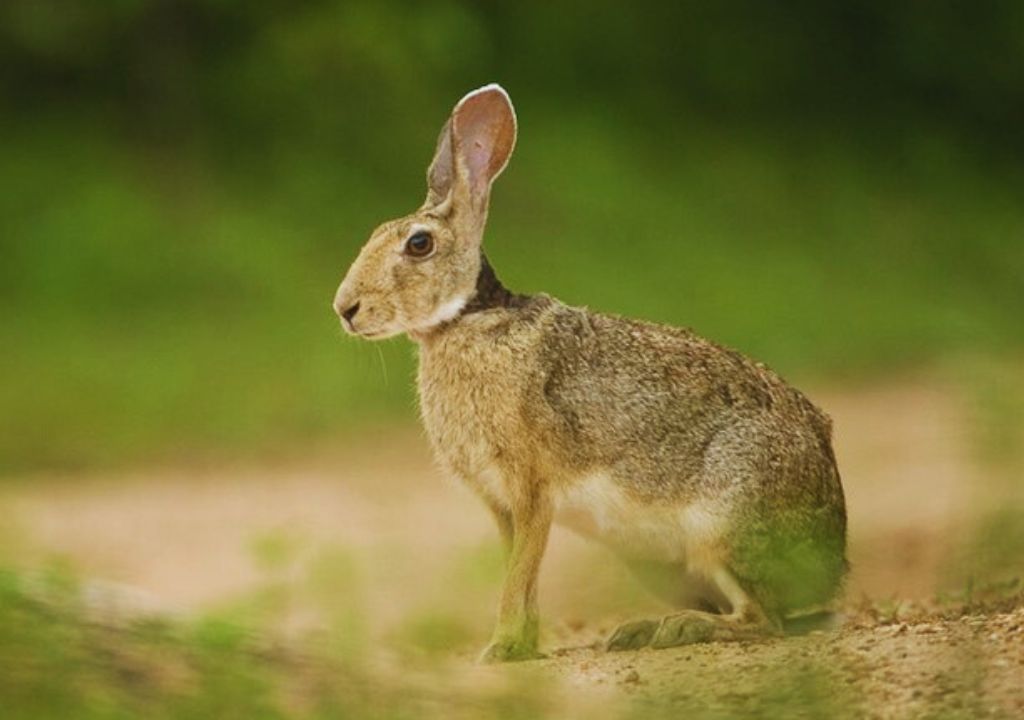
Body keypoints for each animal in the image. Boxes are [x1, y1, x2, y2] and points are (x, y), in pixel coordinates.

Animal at [333, 84, 848, 663]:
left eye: (418, 244)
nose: (345, 309)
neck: (466, 318)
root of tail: (831, 562)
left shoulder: (533, 489)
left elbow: (518, 575)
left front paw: (501, 650)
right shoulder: (502, 505)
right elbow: (519, 573)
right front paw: (522, 646)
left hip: (724, 524)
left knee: (764, 621)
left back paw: (670, 630)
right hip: (658, 566)